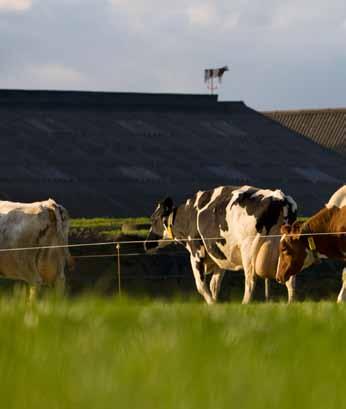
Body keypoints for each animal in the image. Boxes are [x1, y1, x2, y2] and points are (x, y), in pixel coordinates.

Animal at [145, 185, 298, 302]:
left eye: (153, 219)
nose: (146, 244)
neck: (189, 215)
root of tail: (279, 197)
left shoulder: (196, 252)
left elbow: (201, 285)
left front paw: (212, 304)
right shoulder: (219, 255)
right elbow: (214, 285)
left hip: (249, 249)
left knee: (250, 280)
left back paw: (245, 304)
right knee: (290, 278)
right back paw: (290, 304)